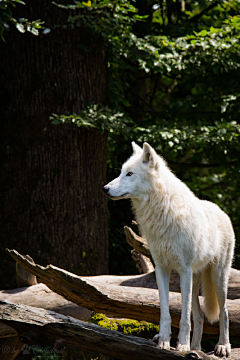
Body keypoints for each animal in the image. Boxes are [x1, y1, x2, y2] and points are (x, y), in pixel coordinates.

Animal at [102, 142, 234, 356]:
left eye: (130, 174)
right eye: (121, 172)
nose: (105, 188)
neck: (161, 212)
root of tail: (221, 210)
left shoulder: (184, 270)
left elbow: (184, 316)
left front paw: (182, 346)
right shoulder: (162, 269)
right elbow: (165, 312)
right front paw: (164, 342)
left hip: (217, 278)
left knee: (224, 312)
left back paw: (222, 347)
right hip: (197, 280)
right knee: (199, 316)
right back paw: (196, 348)